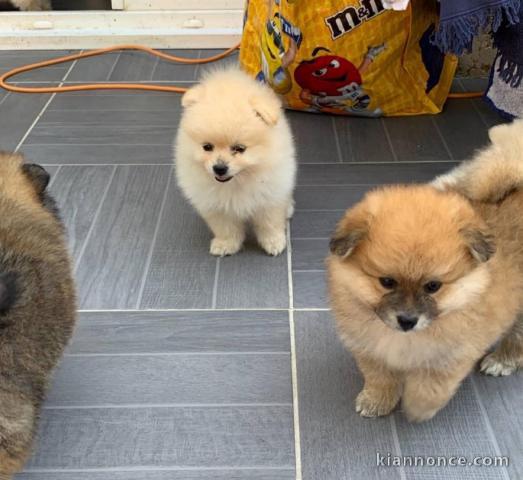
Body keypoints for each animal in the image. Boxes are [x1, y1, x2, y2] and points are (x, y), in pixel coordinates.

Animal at [176, 67, 296, 256]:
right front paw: (226, 244)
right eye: (207, 147)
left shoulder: (268, 197)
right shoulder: (216, 206)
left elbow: (269, 223)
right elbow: (226, 228)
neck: (237, 182)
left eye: (239, 148)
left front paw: (274, 242)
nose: (219, 168)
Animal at [328, 120, 523, 420]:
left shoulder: (450, 357)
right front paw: (376, 402)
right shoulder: (371, 349)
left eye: (433, 286)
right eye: (387, 282)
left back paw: (501, 360)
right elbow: (380, 377)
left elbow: (430, 387)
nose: (407, 321)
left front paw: (416, 410)